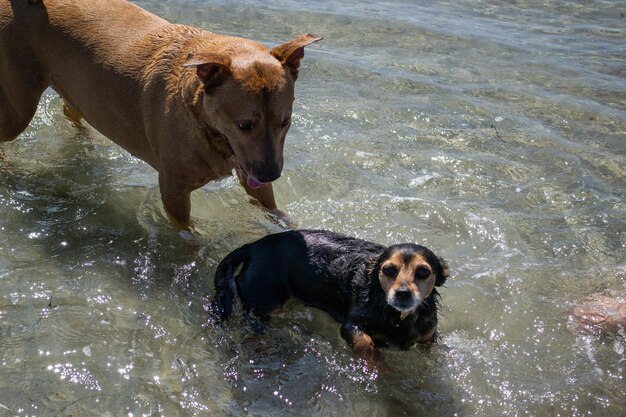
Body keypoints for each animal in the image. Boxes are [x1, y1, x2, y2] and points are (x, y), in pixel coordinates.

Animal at [0, 0, 320, 228]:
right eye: (244, 125)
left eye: (285, 122)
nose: (271, 174)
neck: (201, 120)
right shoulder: (174, 191)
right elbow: (187, 235)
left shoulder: (249, 169)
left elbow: (272, 207)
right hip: (18, 109)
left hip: (79, 88)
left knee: (72, 108)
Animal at [212, 229, 446, 366]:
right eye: (388, 270)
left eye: (423, 272)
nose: (403, 293)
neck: (397, 317)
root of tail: (253, 246)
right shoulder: (350, 326)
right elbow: (366, 344)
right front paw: (378, 366)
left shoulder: (429, 336)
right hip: (264, 302)